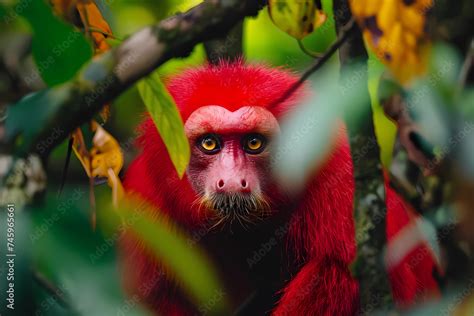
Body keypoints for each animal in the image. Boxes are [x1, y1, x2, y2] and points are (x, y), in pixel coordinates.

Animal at [119, 61, 440, 314]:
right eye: (210, 143)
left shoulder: (337, 173)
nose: (233, 181)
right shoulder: (145, 203)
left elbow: (354, 271)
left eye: (253, 143)